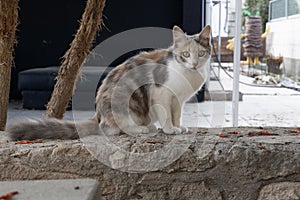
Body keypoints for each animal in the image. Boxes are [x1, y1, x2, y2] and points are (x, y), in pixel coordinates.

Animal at [8, 25, 212, 141]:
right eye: (185, 54)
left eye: (201, 54)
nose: (194, 64)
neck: (188, 73)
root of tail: (98, 116)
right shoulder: (161, 94)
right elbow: (166, 115)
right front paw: (170, 129)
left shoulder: (178, 100)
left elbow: (176, 115)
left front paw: (179, 126)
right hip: (124, 101)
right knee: (116, 129)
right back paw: (141, 129)